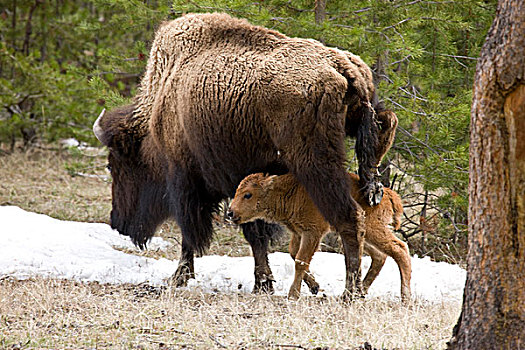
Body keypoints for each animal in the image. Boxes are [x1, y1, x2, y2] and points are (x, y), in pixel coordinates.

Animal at [227, 172, 412, 300]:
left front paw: (293, 295)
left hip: (373, 229)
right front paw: (314, 287)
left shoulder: (312, 232)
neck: (290, 191)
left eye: (248, 194)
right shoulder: (298, 233)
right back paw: (359, 292)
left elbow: (301, 260)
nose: (230, 212)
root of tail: (389, 194)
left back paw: (405, 298)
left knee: (399, 249)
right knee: (380, 255)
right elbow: (294, 255)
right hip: (360, 235)